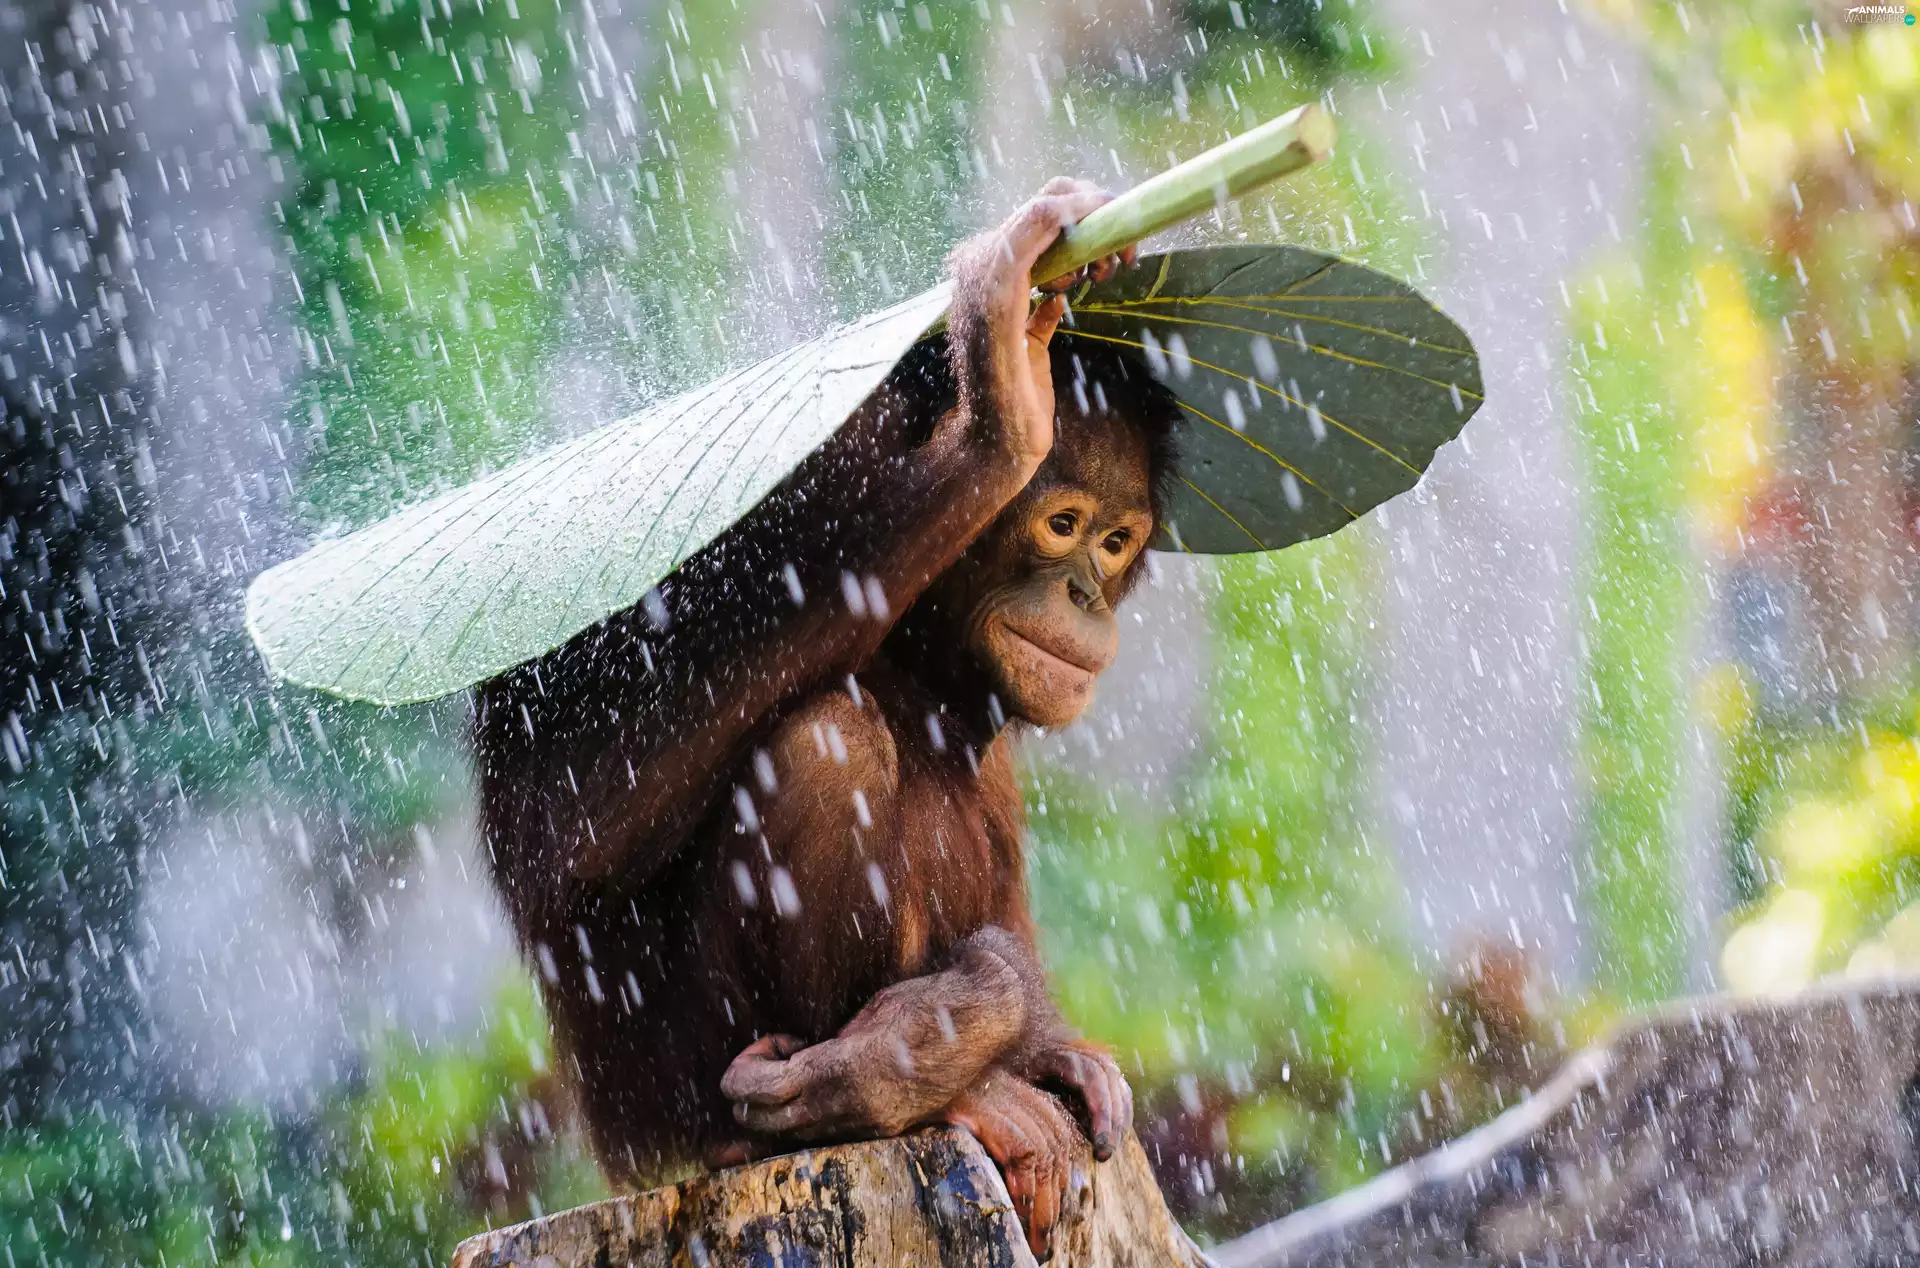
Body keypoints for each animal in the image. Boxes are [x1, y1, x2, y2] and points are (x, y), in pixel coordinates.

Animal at [474, 178, 1181, 1258]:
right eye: (1061, 523)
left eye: (1116, 539)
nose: (1085, 593)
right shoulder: (780, 484)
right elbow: (561, 819)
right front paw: (997, 405)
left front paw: (1038, 1042)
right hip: (680, 1098)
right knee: (823, 740)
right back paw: (904, 1092)